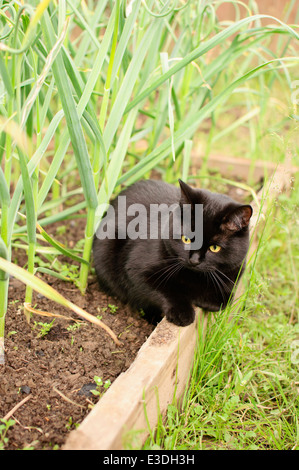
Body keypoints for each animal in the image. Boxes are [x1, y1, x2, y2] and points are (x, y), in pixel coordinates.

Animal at [92, 180, 252, 326]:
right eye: (186, 239)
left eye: (214, 248)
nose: (194, 260)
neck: (193, 278)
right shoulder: (137, 269)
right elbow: (165, 290)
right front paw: (182, 312)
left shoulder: (235, 271)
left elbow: (226, 299)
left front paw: (208, 300)